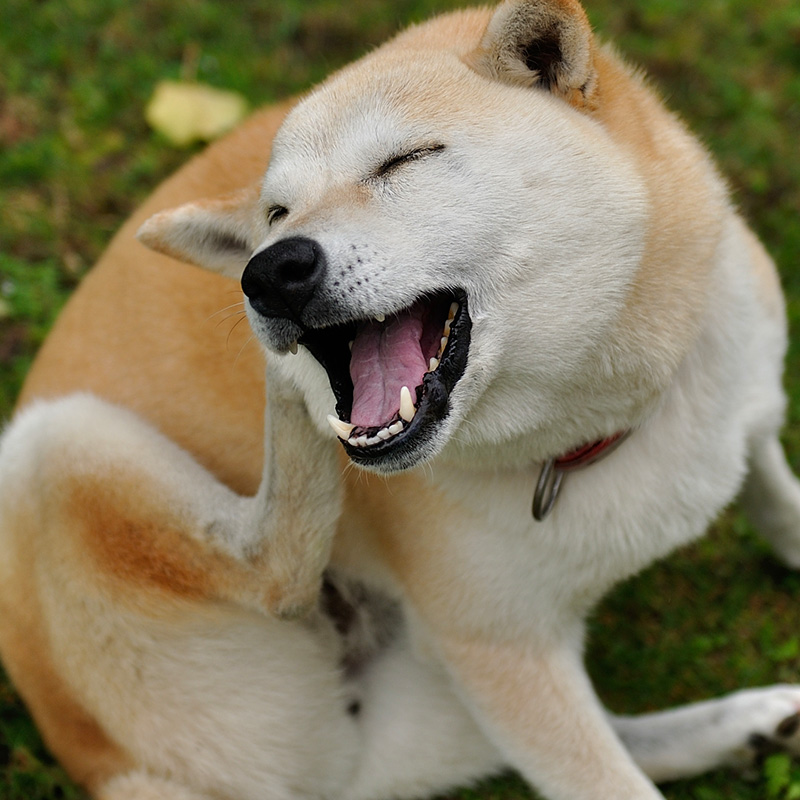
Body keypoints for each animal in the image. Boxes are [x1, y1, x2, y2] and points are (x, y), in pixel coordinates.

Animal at [1, 0, 800, 796]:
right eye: (276, 213)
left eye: (405, 161)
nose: (267, 272)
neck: (604, 428)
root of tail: (96, 760)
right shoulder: (502, 654)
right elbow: (607, 783)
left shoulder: (747, 408)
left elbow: (774, 496)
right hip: (52, 442)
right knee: (275, 573)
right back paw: (286, 399)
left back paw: (748, 725)